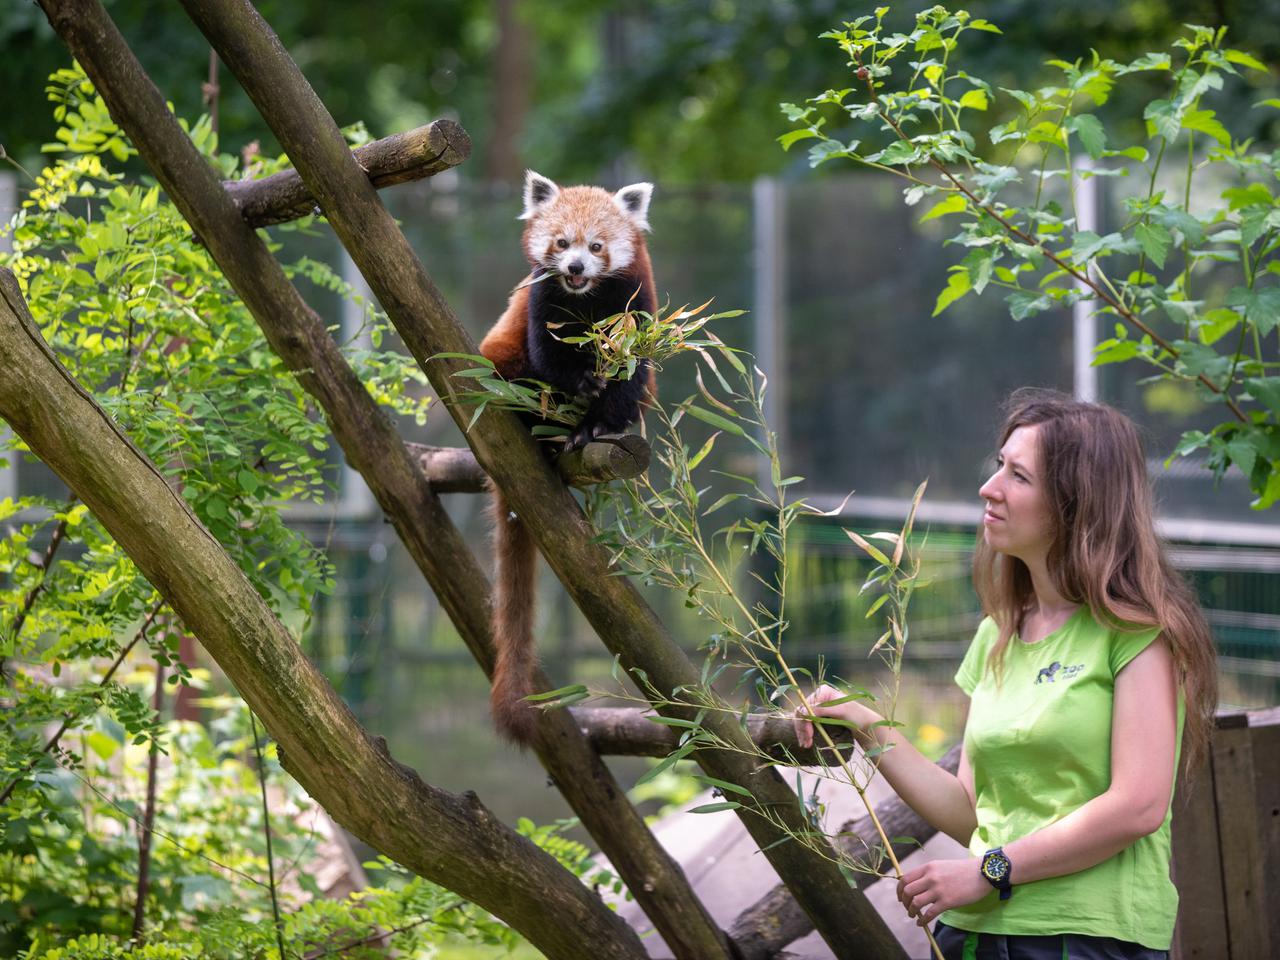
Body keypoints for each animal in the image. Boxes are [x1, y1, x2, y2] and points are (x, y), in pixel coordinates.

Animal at [481, 172, 660, 742]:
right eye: (561, 243)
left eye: (597, 246)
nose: (577, 268)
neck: (586, 301)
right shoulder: (543, 303)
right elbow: (551, 355)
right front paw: (580, 384)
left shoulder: (636, 302)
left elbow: (631, 370)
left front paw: (602, 423)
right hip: (497, 363)